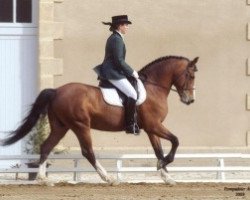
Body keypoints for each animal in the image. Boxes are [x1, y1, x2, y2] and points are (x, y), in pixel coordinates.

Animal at [0, 55, 199, 184]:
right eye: (190, 75)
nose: (190, 100)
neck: (153, 88)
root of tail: (56, 91)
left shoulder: (152, 129)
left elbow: (158, 150)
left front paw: (167, 176)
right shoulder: (154, 125)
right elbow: (175, 141)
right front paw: (164, 165)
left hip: (60, 127)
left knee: (46, 147)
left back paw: (42, 179)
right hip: (81, 126)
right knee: (88, 151)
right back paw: (108, 178)